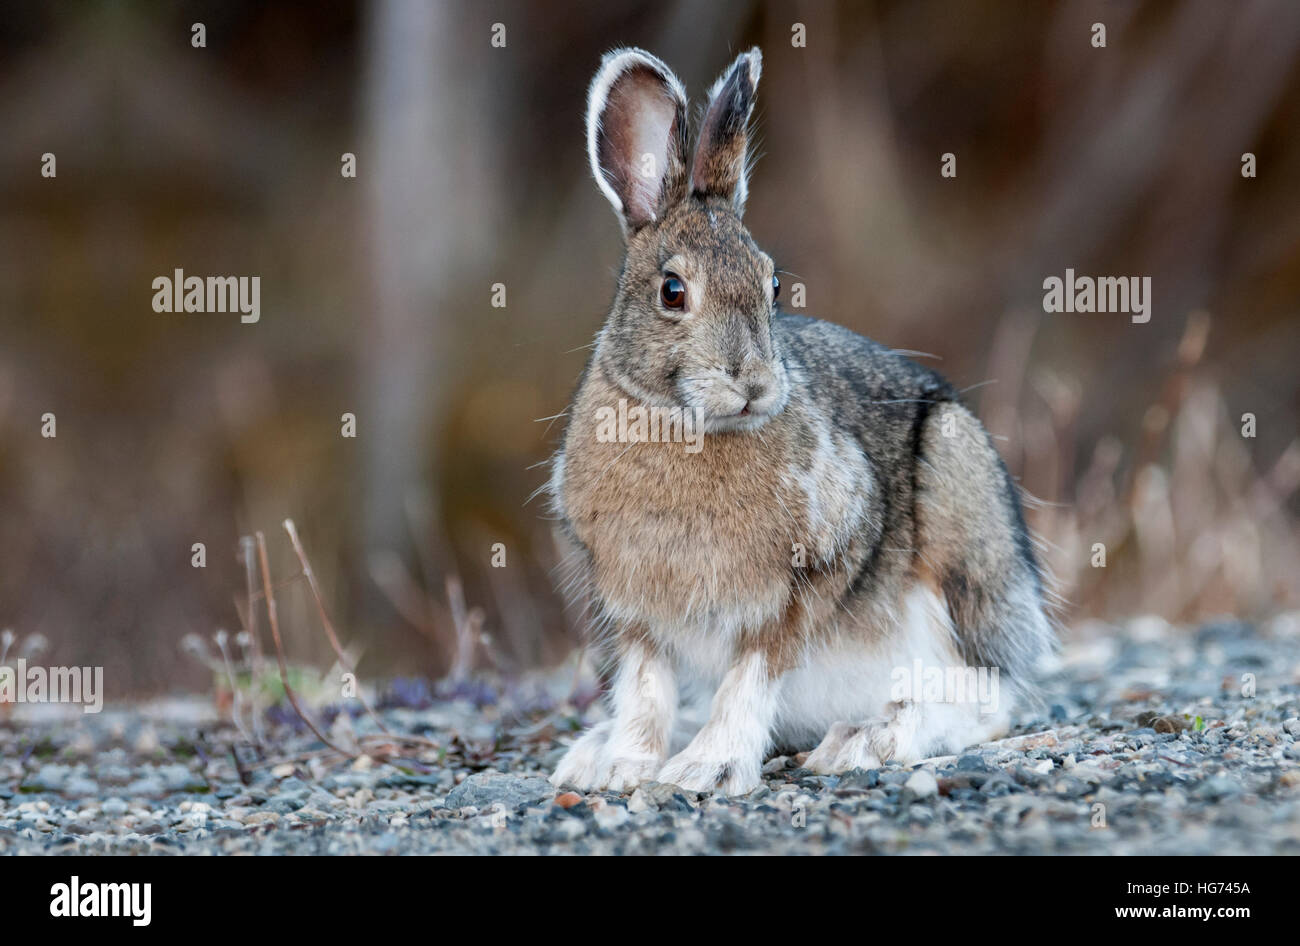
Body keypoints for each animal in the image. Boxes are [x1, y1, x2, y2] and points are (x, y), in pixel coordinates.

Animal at [548, 46, 1054, 795]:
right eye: (673, 292)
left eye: (774, 285)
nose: (755, 383)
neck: (688, 425)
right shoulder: (634, 607)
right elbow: (645, 689)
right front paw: (623, 766)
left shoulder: (808, 576)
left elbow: (752, 675)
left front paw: (707, 768)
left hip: (961, 519)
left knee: (986, 699)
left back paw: (866, 739)